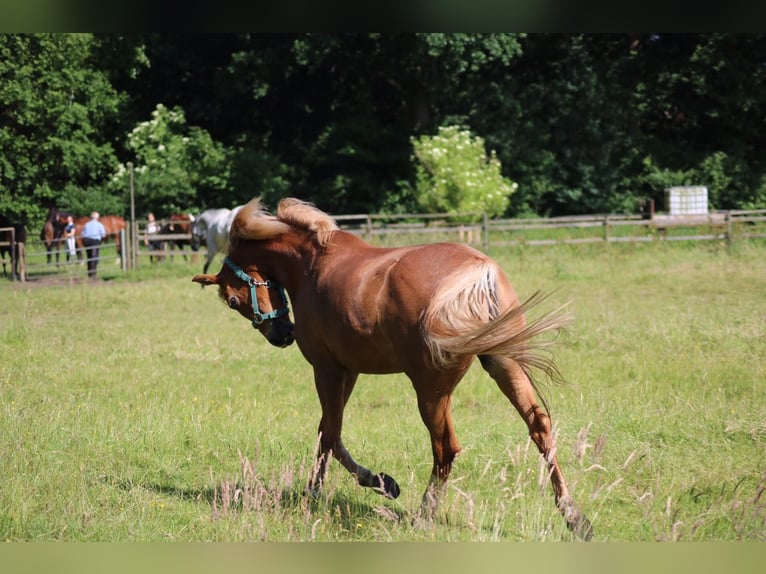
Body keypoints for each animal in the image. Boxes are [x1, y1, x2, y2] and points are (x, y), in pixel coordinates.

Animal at [194, 197, 592, 540]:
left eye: (233, 300)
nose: (281, 335)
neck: (312, 265)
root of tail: (477, 272)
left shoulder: (326, 369)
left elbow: (329, 435)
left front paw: (359, 485)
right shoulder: (348, 371)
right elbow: (328, 433)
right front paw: (350, 485)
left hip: (431, 392)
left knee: (445, 449)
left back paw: (425, 514)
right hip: (504, 366)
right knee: (540, 428)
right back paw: (574, 517)